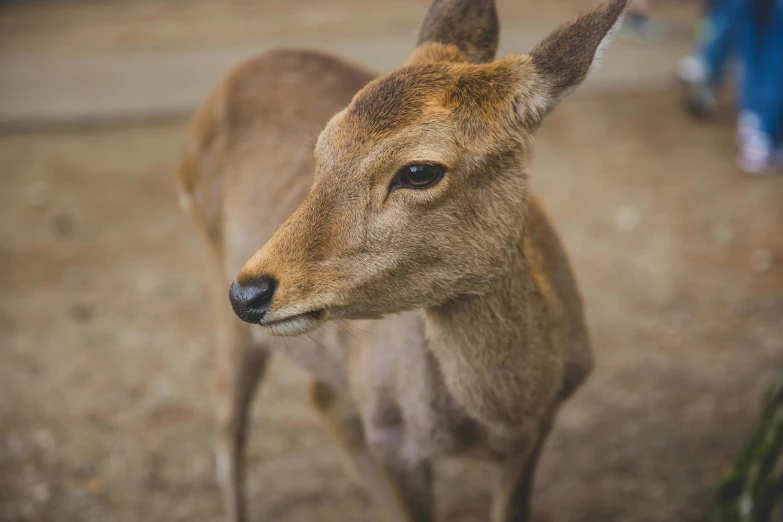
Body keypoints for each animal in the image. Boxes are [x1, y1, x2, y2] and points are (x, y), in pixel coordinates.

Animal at [176, 0, 624, 516]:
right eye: (322, 151)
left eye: (419, 170)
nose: (250, 291)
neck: (508, 411)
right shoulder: (393, 437)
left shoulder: (538, 430)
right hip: (217, 277)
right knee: (227, 407)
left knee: (321, 396)